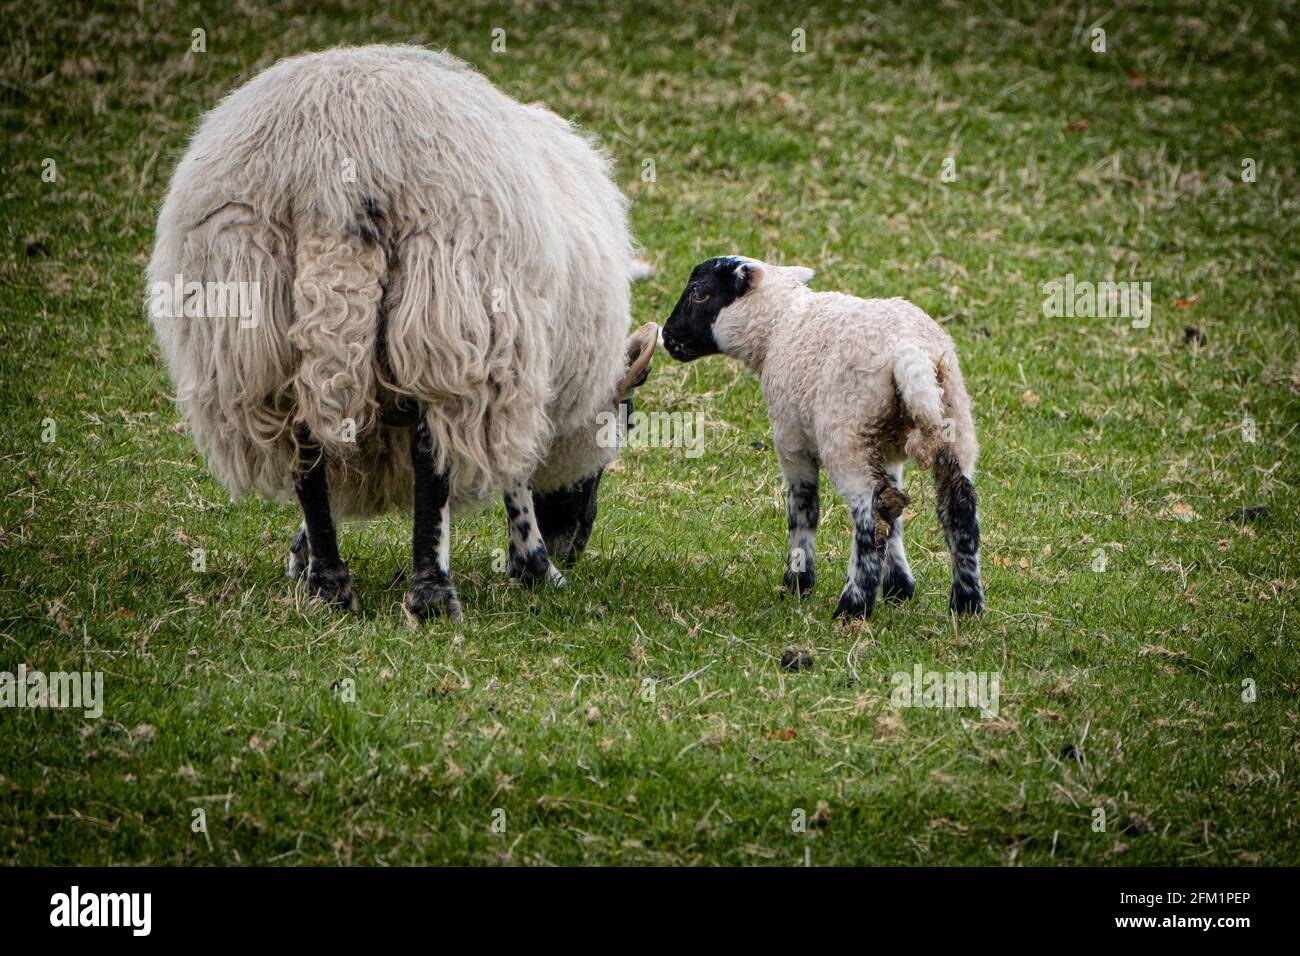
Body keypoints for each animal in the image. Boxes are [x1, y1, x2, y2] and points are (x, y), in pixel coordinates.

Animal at [147, 45, 658, 621]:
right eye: (627, 419)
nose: (574, 547)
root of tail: (330, 168)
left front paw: (300, 551)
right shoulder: (515, 356)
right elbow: (511, 478)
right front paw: (534, 566)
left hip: (255, 316)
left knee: (307, 443)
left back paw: (328, 585)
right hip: (448, 302)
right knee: (429, 450)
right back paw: (433, 593)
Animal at [660, 256, 984, 620]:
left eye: (700, 294)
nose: (667, 335)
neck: (777, 326)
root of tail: (909, 352)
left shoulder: (790, 439)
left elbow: (803, 508)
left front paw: (797, 584)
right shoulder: (886, 451)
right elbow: (896, 516)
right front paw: (899, 587)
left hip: (846, 434)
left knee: (870, 517)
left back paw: (852, 606)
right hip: (953, 425)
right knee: (957, 509)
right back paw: (966, 604)